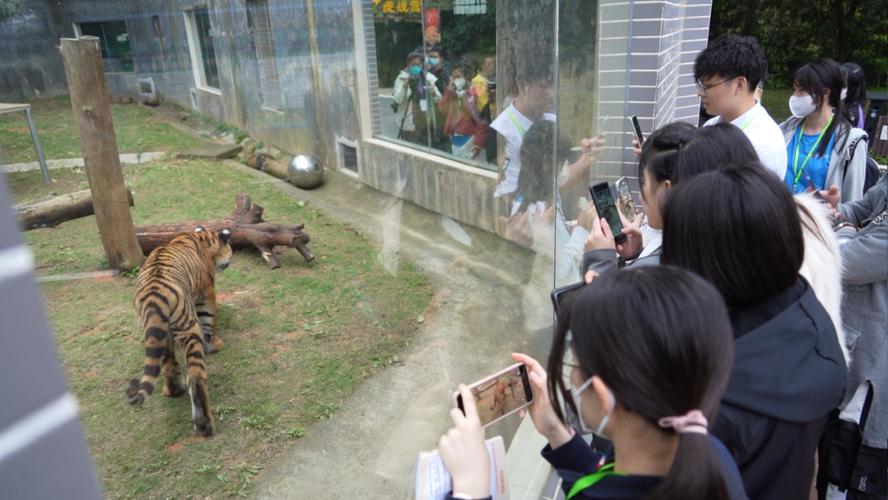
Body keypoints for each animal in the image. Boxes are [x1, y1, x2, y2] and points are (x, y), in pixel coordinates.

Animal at [127, 225, 236, 436]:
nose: (231, 258)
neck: (201, 238)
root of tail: (153, 296)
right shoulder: (207, 293)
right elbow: (209, 320)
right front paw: (215, 344)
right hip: (188, 328)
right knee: (195, 376)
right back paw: (204, 424)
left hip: (161, 334)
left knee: (169, 365)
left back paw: (173, 390)